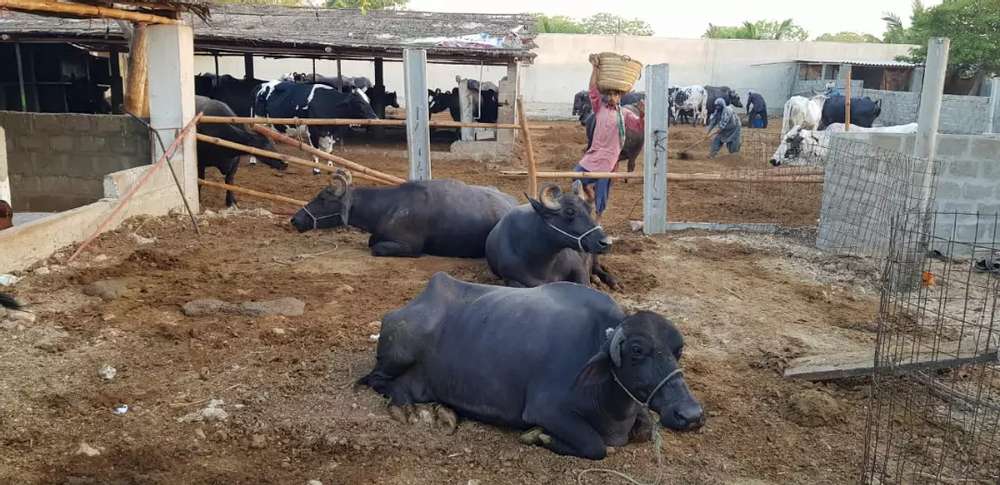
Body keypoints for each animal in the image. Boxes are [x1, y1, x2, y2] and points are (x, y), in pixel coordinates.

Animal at [359, 272, 704, 459]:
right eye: (636, 350)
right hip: (397, 354)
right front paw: (539, 437)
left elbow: (645, 429)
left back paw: (443, 412)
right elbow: (595, 446)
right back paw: (410, 409)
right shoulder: (546, 410)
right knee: (379, 381)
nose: (690, 415)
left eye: (679, 349)